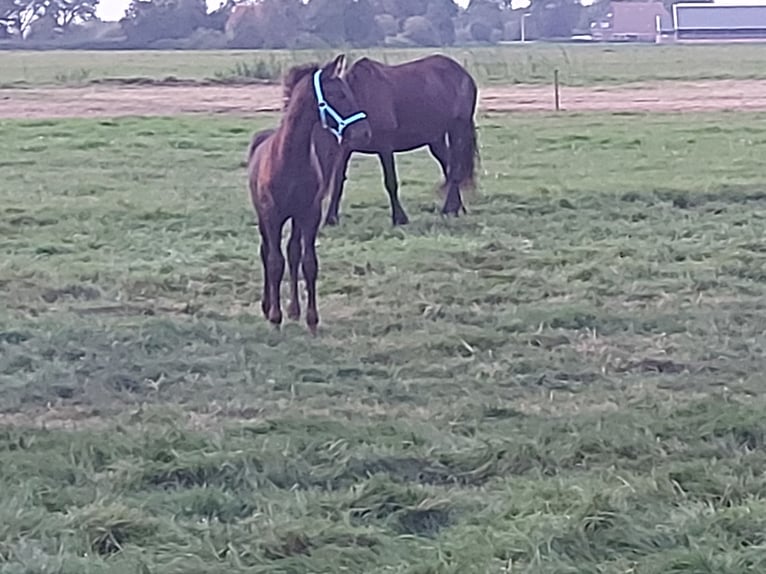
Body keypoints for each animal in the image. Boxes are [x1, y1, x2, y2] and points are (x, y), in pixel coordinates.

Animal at [249, 56, 372, 336]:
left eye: (349, 91)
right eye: (338, 94)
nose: (364, 132)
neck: (289, 159)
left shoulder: (309, 214)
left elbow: (308, 262)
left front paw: (312, 319)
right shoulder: (273, 216)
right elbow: (275, 262)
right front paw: (275, 318)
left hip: (295, 219)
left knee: (292, 252)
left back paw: (294, 310)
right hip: (263, 218)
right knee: (266, 252)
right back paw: (268, 306)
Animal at [320, 54, 480, 227]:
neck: (361, 97)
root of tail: (463, 73)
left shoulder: (385, 146)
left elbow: (390, 182)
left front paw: (399, 218)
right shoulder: (344, 149)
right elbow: (337, 182)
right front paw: (330, 218)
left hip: (458, 129)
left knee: (455, 168)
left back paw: (449, 209)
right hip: (436, 139)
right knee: (448, 167)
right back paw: (456, 207)